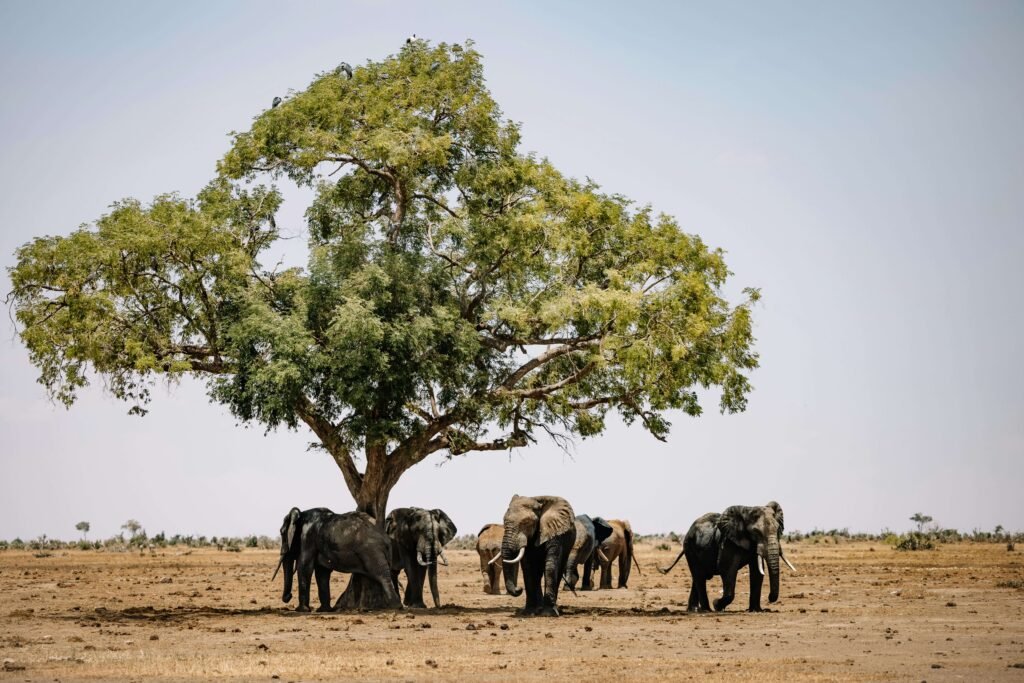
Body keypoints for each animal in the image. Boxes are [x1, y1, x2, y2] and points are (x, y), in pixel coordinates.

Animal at [659, 501, 796, 612]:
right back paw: (707, 610)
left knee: (697, 577)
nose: (769, 598)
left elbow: (757, 573)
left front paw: (757, 610)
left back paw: (694, 610)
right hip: (689, 547)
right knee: (699, 576)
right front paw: (717, 605)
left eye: (778, 529)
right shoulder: (728, 542)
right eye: (756, 532)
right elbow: (727, 569)